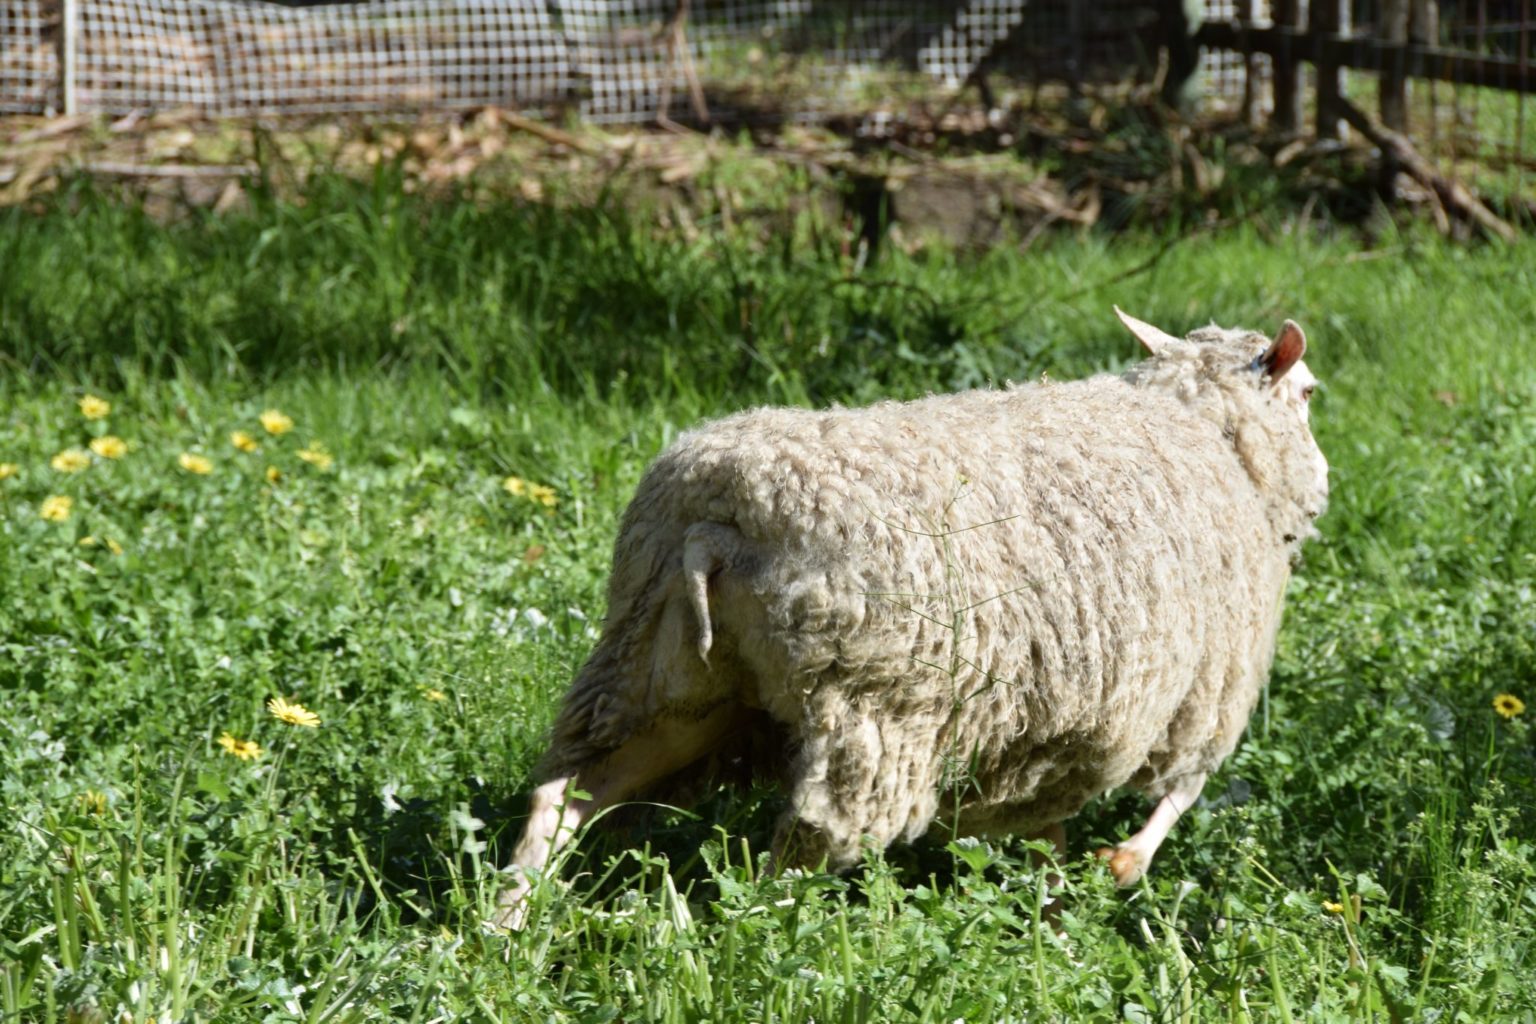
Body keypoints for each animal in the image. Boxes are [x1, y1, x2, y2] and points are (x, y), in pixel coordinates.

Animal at [494, 307, 1328, 929]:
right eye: (1312, 393)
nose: (1324, 485)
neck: (1210, 433)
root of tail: (709, 526)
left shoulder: (1063, 723)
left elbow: (1046, 828)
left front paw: (1056, 905)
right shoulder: (1204, 692)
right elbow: (1179, 795)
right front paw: (1119, 867)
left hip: (664, 681)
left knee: (568, 795)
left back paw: (509, 928)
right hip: (872, 710)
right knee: (790, 858)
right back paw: (753, 940)